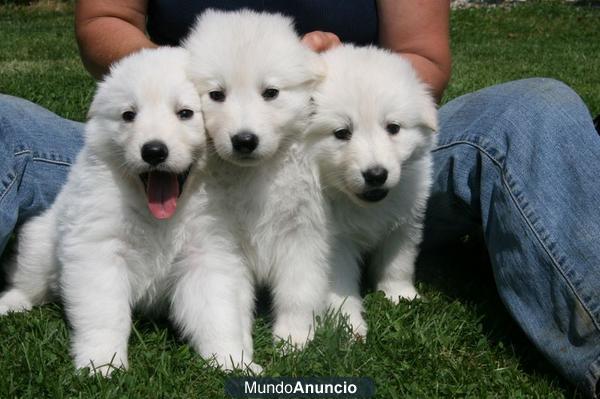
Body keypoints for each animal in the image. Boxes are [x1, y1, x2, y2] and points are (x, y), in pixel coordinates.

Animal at [185, 10, 330, 350]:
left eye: (271, 93)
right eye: (216, 95)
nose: (244, 140)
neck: (255, 175)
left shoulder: (302, 233)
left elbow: (298, 291)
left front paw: (293, 337)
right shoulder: (226, 241)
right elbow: (231, 301)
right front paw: (237, 348)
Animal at [308, 46, 438, 338]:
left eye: (393, 128)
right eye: (342, 133)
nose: (376, 175)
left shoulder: (404, 225)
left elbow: (398, 264)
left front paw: (401, 296)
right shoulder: (334, 244)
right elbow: (340, 287)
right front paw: (349, 325)